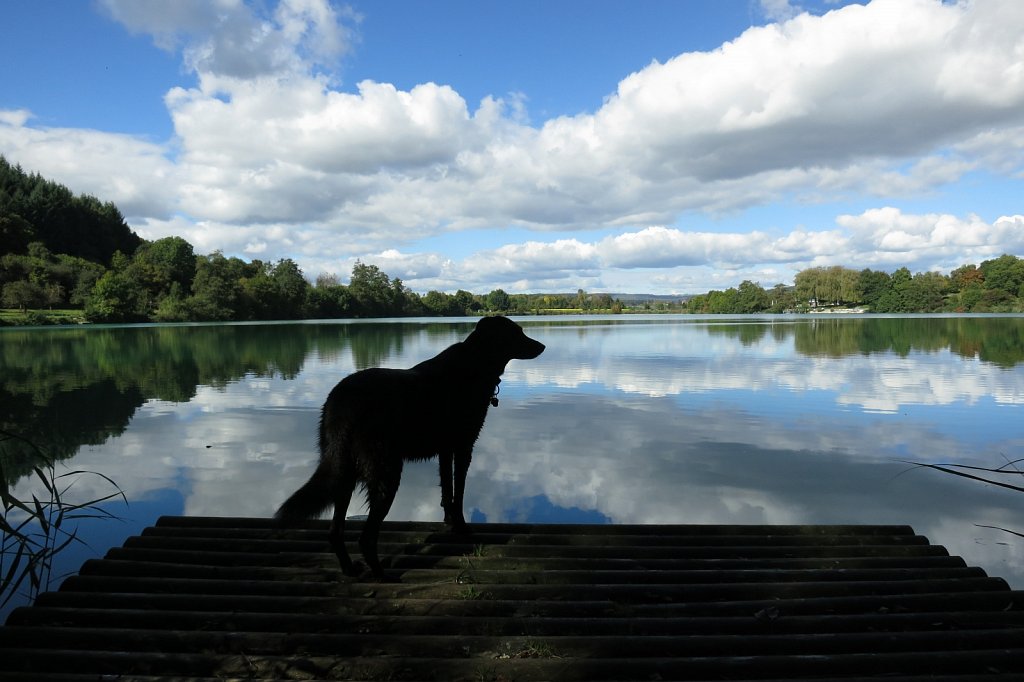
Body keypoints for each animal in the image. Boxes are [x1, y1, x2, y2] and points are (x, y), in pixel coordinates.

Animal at [272, 315, 544, 577]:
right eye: (517, 332)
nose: (542, 346)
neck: (475, 362)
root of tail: (342, 402)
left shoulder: (445, 451)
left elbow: (447, 491)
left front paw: (449, 522)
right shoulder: (463, 447)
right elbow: (459, 493)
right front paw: (461, 526)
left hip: (344, 472)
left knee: (335, 531)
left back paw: (350, 569)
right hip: (386, 472)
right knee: (366, 538)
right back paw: (383, 576)